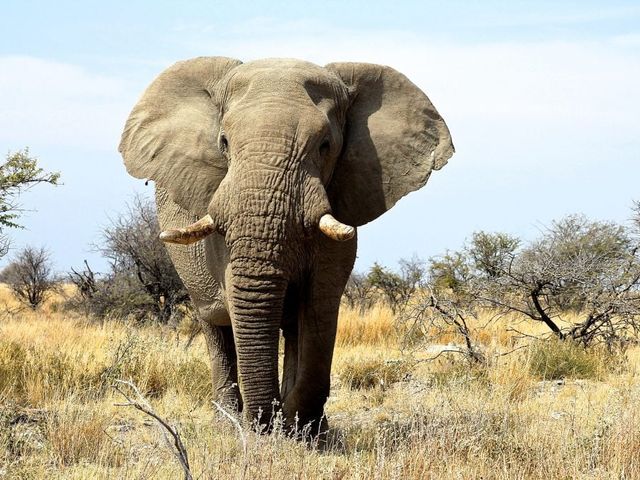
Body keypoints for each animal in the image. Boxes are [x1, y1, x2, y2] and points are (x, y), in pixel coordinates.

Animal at [117, 56, 452, 432]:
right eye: (224, 143)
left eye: (324, 145)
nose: (272, 420)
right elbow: (240, 299)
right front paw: (270, 427)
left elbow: (320, 304)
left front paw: (304, 429)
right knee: (215, 325)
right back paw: (229, 421)